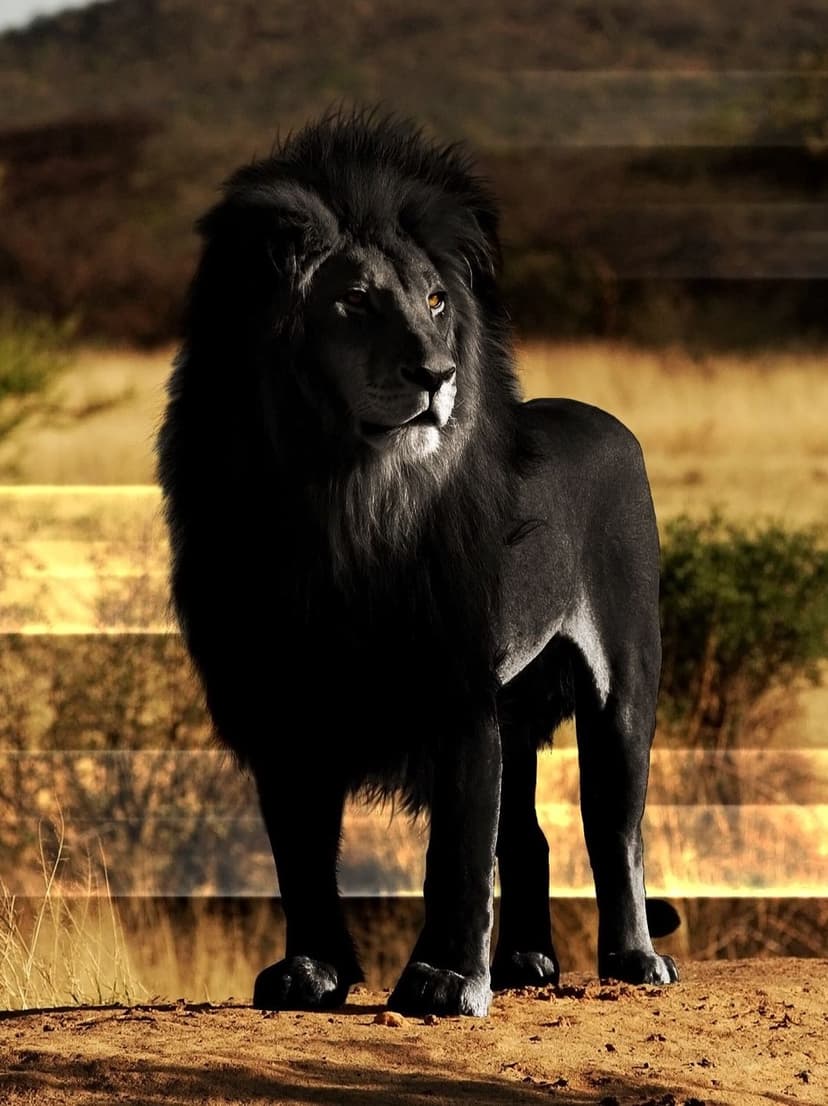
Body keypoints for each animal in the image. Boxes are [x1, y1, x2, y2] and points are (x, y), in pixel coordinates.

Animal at [157, 110, 679, 1018]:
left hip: (623, 680)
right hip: (518, 705)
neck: (342, 499)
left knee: (616, 827)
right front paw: (312, 972)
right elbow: (301, 853)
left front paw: (442, 981)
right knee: (530, 837)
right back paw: (527, 963)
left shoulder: (457, 685)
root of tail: (608, 420)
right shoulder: (280, 698)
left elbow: (456, 854)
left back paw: (632, 960)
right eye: (355, 300)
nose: (437, 373)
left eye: (437, 301)